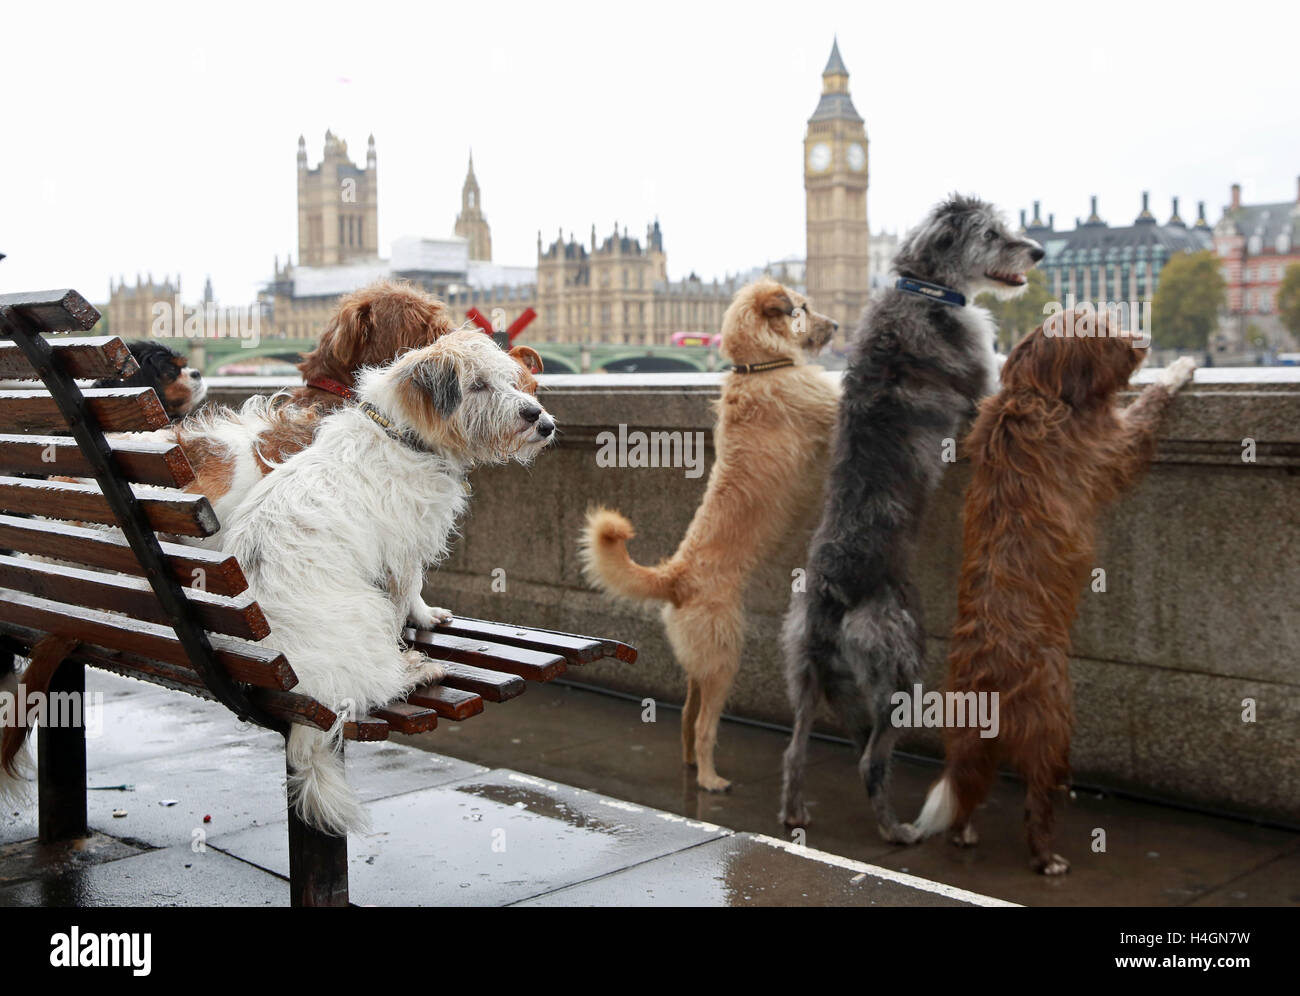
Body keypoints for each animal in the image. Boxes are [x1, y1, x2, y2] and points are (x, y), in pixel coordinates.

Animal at [220, 331, 556, 837]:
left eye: (512, 382)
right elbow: (407, 594)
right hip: (364, 610)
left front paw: (427, 615)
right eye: (477, 385)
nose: (541, 420)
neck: (404, 437)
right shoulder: (401, 550)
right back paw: (416, 670)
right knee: (375, 682)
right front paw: (416, 629)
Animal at [579, 276, 842, 790]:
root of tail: (675, 577)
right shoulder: (829, 407)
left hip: (700, 663)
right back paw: (708, 778)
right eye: (802, 307)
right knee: (703, 726)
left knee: (685, 717)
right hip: (724, 657)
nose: (838, 326)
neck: (759, 365)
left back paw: (689, 766)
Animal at [774, 195, 1040, 842]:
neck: (925, 289)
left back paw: (796, 813)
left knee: (797, 751)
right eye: (993, 233)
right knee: (872, 758)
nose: (1038, 251)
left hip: (810, 671)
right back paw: (898, 831)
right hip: (901, 665)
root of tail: (833, 591)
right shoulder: (985, 389)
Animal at [909, 309, 1190, 873]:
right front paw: (1179, 370)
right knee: (1036, 801)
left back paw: (965, 832)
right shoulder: (1114, 444)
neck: (1037, 391)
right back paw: (1048, 858)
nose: (1144, 338)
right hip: (1053, 726)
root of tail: (989, 677)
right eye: (1107, 332)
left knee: (967, 785)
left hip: (967, 736)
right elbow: (1149, 406)